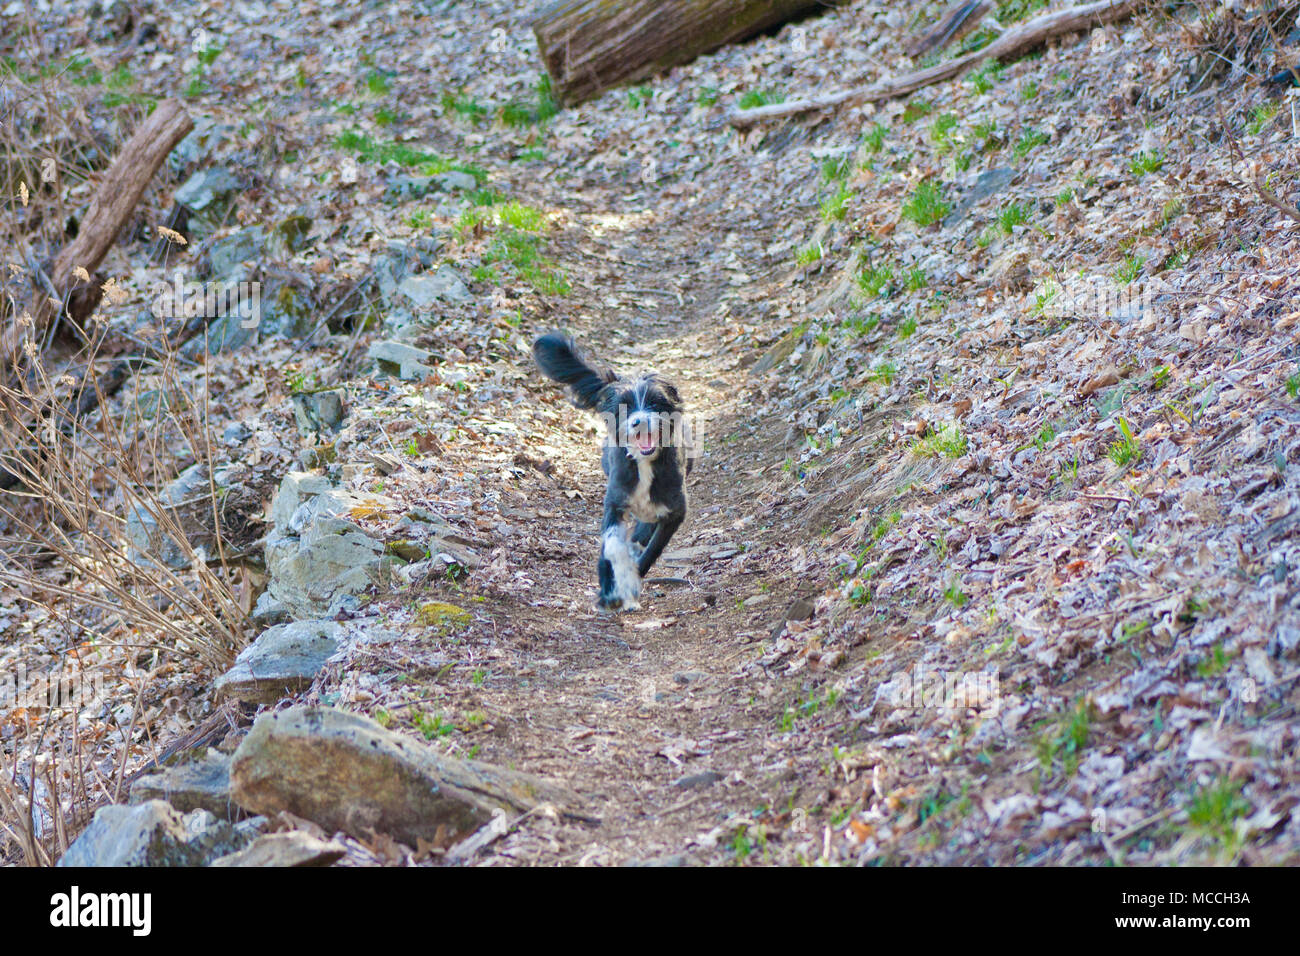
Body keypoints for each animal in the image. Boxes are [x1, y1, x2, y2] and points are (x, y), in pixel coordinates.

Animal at [530, 332, 691, 608]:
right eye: (624, 407)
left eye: (655, 402)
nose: (638, 422)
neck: (644, 465)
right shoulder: (615, 502)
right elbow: (611, 546)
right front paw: (611, 589)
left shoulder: (675, 511)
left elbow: (653, 549)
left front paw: (632, 576)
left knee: (643, 532)